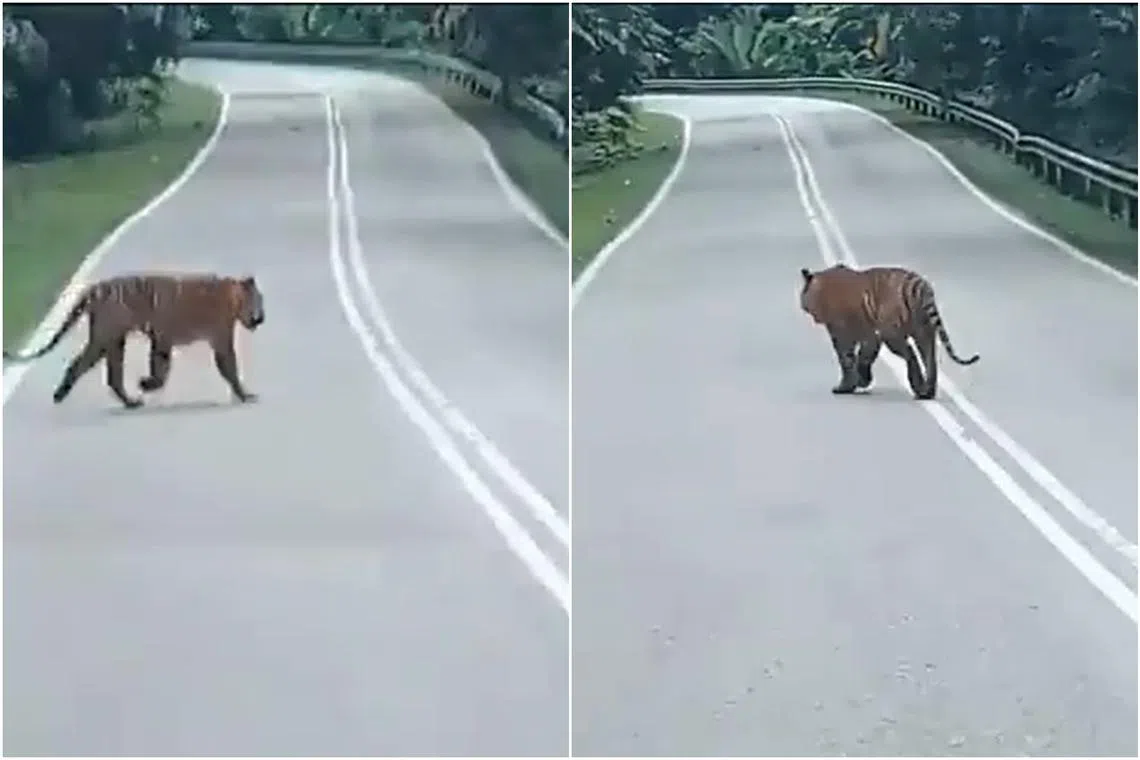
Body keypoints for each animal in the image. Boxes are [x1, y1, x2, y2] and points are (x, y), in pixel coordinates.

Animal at [3, 272, 265, 409]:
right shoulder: (219, 339)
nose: (262, 318)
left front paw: (146, 383)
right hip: (105, 337)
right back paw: (60, 396)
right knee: (82, 365)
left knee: (109, 375)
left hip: (112, 341)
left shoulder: (162, 339)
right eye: (260, 300)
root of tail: (95, 288)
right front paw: (245, 395)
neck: (234, 295)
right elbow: (230, 369)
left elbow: (160, 367)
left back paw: (128, 401)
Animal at [798, 263, 979, 400]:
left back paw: (918, 387)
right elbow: (864, 356)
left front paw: (847, 386)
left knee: (911, 354)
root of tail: (921, 285)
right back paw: (927, 392)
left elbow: (848, 360)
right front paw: (861, 381)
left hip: (892, 334)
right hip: (924, 331)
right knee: (930, 359)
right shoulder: (869, 335)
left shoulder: (842, 334)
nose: (803, 306)